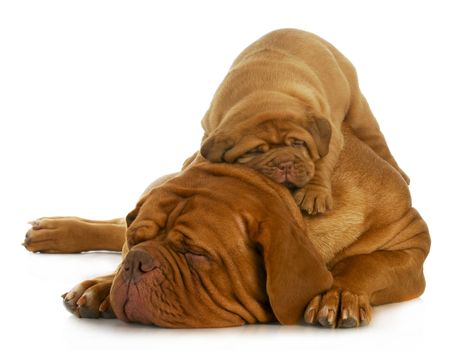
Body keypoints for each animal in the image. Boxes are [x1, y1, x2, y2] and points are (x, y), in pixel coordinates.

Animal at [24, 129, 430, 328]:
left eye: (195, 253)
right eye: (136, 241)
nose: (136, 261)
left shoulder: (412, 243)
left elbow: (367, 263)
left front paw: (340, 293)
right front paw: (101, 284)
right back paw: (57, 235)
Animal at [199, 28, 408, 215]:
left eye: (298, 143)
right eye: (255, 151)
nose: (284, 163)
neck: (264, 95)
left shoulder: (331, 135)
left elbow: (322, 161)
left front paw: (314, 192)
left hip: (358, 112)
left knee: (378, 143)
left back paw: (401, 174)